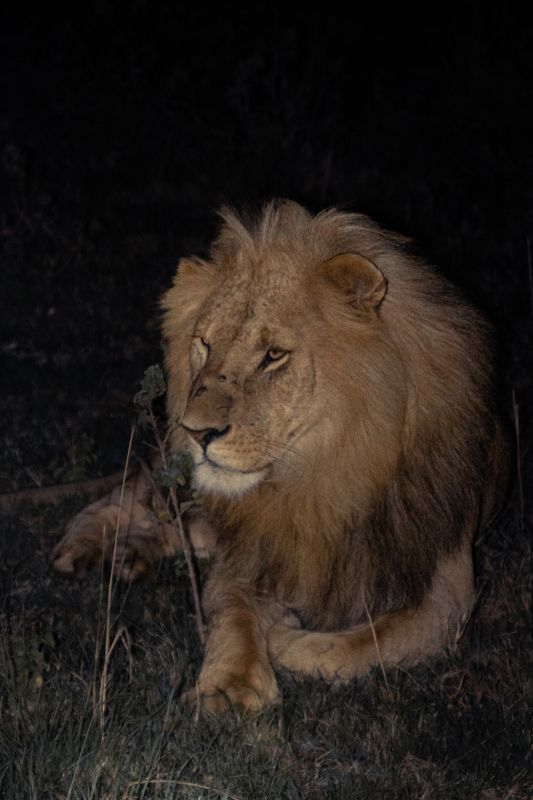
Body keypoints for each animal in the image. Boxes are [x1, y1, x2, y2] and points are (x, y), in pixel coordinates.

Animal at [52, 199, 509, 713]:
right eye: (205, 344)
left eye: (273, 355)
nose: (195, 431)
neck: (317, 477)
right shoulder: (252, 549)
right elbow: (234, 613)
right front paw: (227, 690)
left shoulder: (448, 584)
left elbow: (377, 638)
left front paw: (287, 640)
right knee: (133, 494)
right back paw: (84, 546)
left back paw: (131, 554)